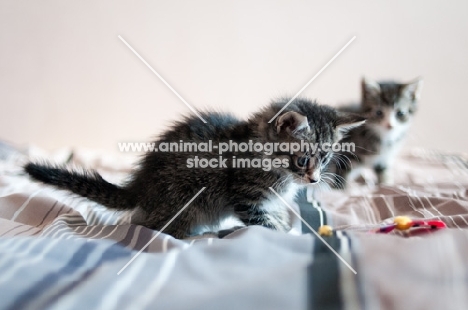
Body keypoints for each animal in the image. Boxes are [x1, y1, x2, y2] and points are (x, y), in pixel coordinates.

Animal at [24, 98, 366, 239]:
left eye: (324, 159)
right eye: (303, 159)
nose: (314, 179)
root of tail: (141, 185)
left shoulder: (274, 200)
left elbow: (278, 214)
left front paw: (289, 227)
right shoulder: (247, 197)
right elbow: (264, 222)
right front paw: (285, 235)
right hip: (185, 197)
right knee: (149, 225)